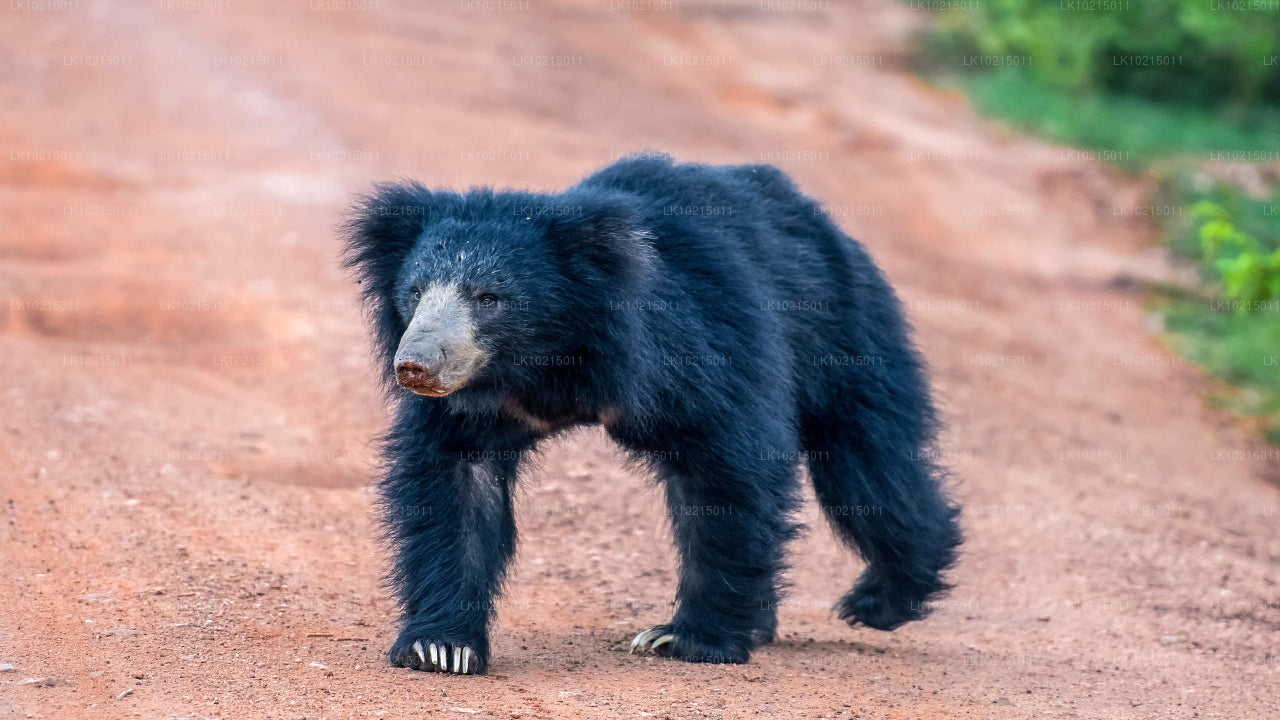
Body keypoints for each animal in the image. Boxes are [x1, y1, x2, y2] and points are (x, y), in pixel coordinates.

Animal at [343, 152, 962, 671]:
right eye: (416, 292)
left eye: (489, 298)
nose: (415, 366)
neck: (547, 362)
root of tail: (820, 218)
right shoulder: (472, 404)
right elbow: (455, 485)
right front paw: (440, 647)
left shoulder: (695, 349)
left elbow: (728, 471)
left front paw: (686, 639)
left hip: (843, 335)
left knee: (869, 465)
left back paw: (880, 599)